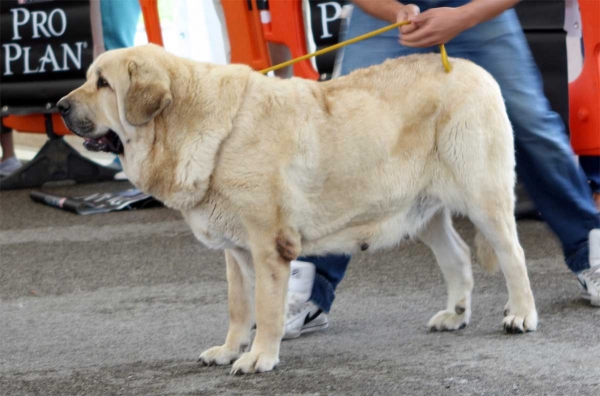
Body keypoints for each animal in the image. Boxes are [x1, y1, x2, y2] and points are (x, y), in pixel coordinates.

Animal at [59, 44, 540, 374]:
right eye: (89, 79)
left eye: (104, 84)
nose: (59, 106)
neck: (195, 126)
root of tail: (472, 67)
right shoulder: (236, 252)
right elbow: (239, 307)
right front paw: (230, 349)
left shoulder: (268, 246)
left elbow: (267, 308)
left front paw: (259, 357)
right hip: (421, 211)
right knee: (457, 256)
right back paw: (454, 316)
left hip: (483, 197)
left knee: (513, 255)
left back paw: (521, 314)